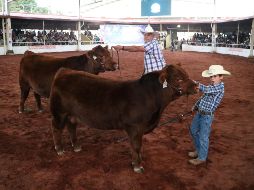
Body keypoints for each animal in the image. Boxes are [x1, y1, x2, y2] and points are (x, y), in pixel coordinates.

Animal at [49, 64, 196, 173]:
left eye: (187, 75)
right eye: (178, 78)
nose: (196, 86)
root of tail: (64, 71)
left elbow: (136, 147)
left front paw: (136, 161)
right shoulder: (134, 127)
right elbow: (136, 146)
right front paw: (137, 166)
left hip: (72, 115)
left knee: (71, 127)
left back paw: (76, 146)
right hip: (59, 113)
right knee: (56, 129)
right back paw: (59, 149)